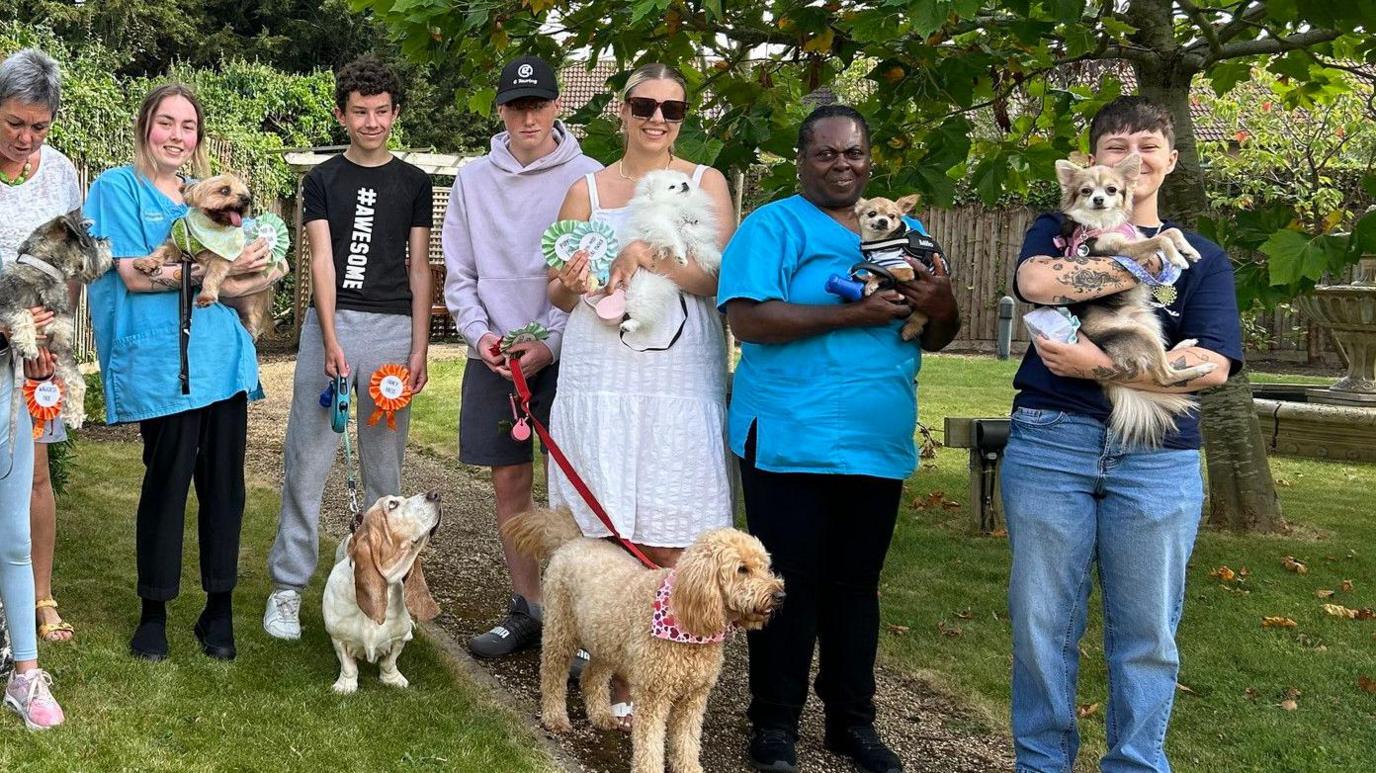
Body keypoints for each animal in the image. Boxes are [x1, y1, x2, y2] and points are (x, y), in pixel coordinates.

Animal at [1, 210, 112, 426]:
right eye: (88, 238)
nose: (106, 240)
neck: (45, 272)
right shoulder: (6, 300)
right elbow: (22, 312)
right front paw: (27, 343)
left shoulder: (60, 345)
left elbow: (77, 379)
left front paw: (75, 414)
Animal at [321, 489, 440, 695]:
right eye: (392, 505)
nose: (435, 494)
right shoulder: (339, 638)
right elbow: (348, 666)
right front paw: (345, 686)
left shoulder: (398, 639)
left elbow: (389, 663)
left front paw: (392, 680)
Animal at [503, 506, 787, 770]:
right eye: (742, 569)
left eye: (765, 567)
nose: (780, 595)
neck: (688, 623)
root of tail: (573, 541)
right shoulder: (654, 695)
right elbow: (650, 744)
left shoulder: (694, 699)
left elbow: (687, 741)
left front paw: (689, 767)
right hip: (561, 631)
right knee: (552, 675)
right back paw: (555, 717)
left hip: (606, 641)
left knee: (591, 676)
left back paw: (601, 714)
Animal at [616, 168, 715, 334]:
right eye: (672, 187)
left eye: (683, 180)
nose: (685, 184)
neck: (676, 205)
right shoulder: (659, 222)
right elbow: (673, 237)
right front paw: (680, 256)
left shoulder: (696, 228)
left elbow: (700, 243)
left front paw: (716, 261)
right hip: (642, 287)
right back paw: (629, 324)